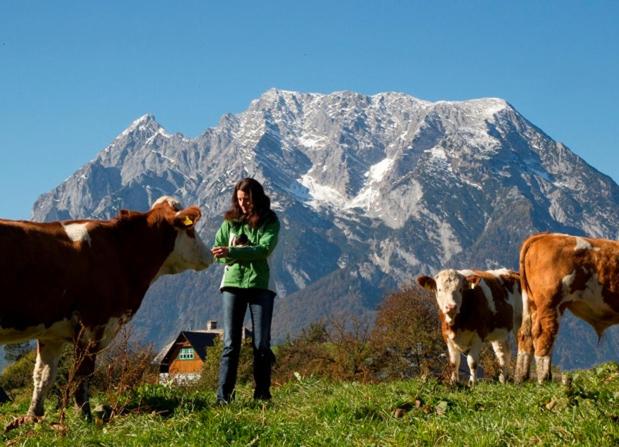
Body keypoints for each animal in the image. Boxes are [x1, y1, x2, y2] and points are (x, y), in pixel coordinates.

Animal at [0, 196, 213, 424]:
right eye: (191, 230)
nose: (210, 255)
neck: (119, 251)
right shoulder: (93, 323)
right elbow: (82, 375)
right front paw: (84, 417)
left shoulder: (52, 332)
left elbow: (43, 375)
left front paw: (33, 417)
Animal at [512, 233, 619, 384]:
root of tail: (544, 236)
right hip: (550, 303)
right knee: (543, 335)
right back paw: (543, 379)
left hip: (532, 304)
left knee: (525, 334)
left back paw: (521, 378)